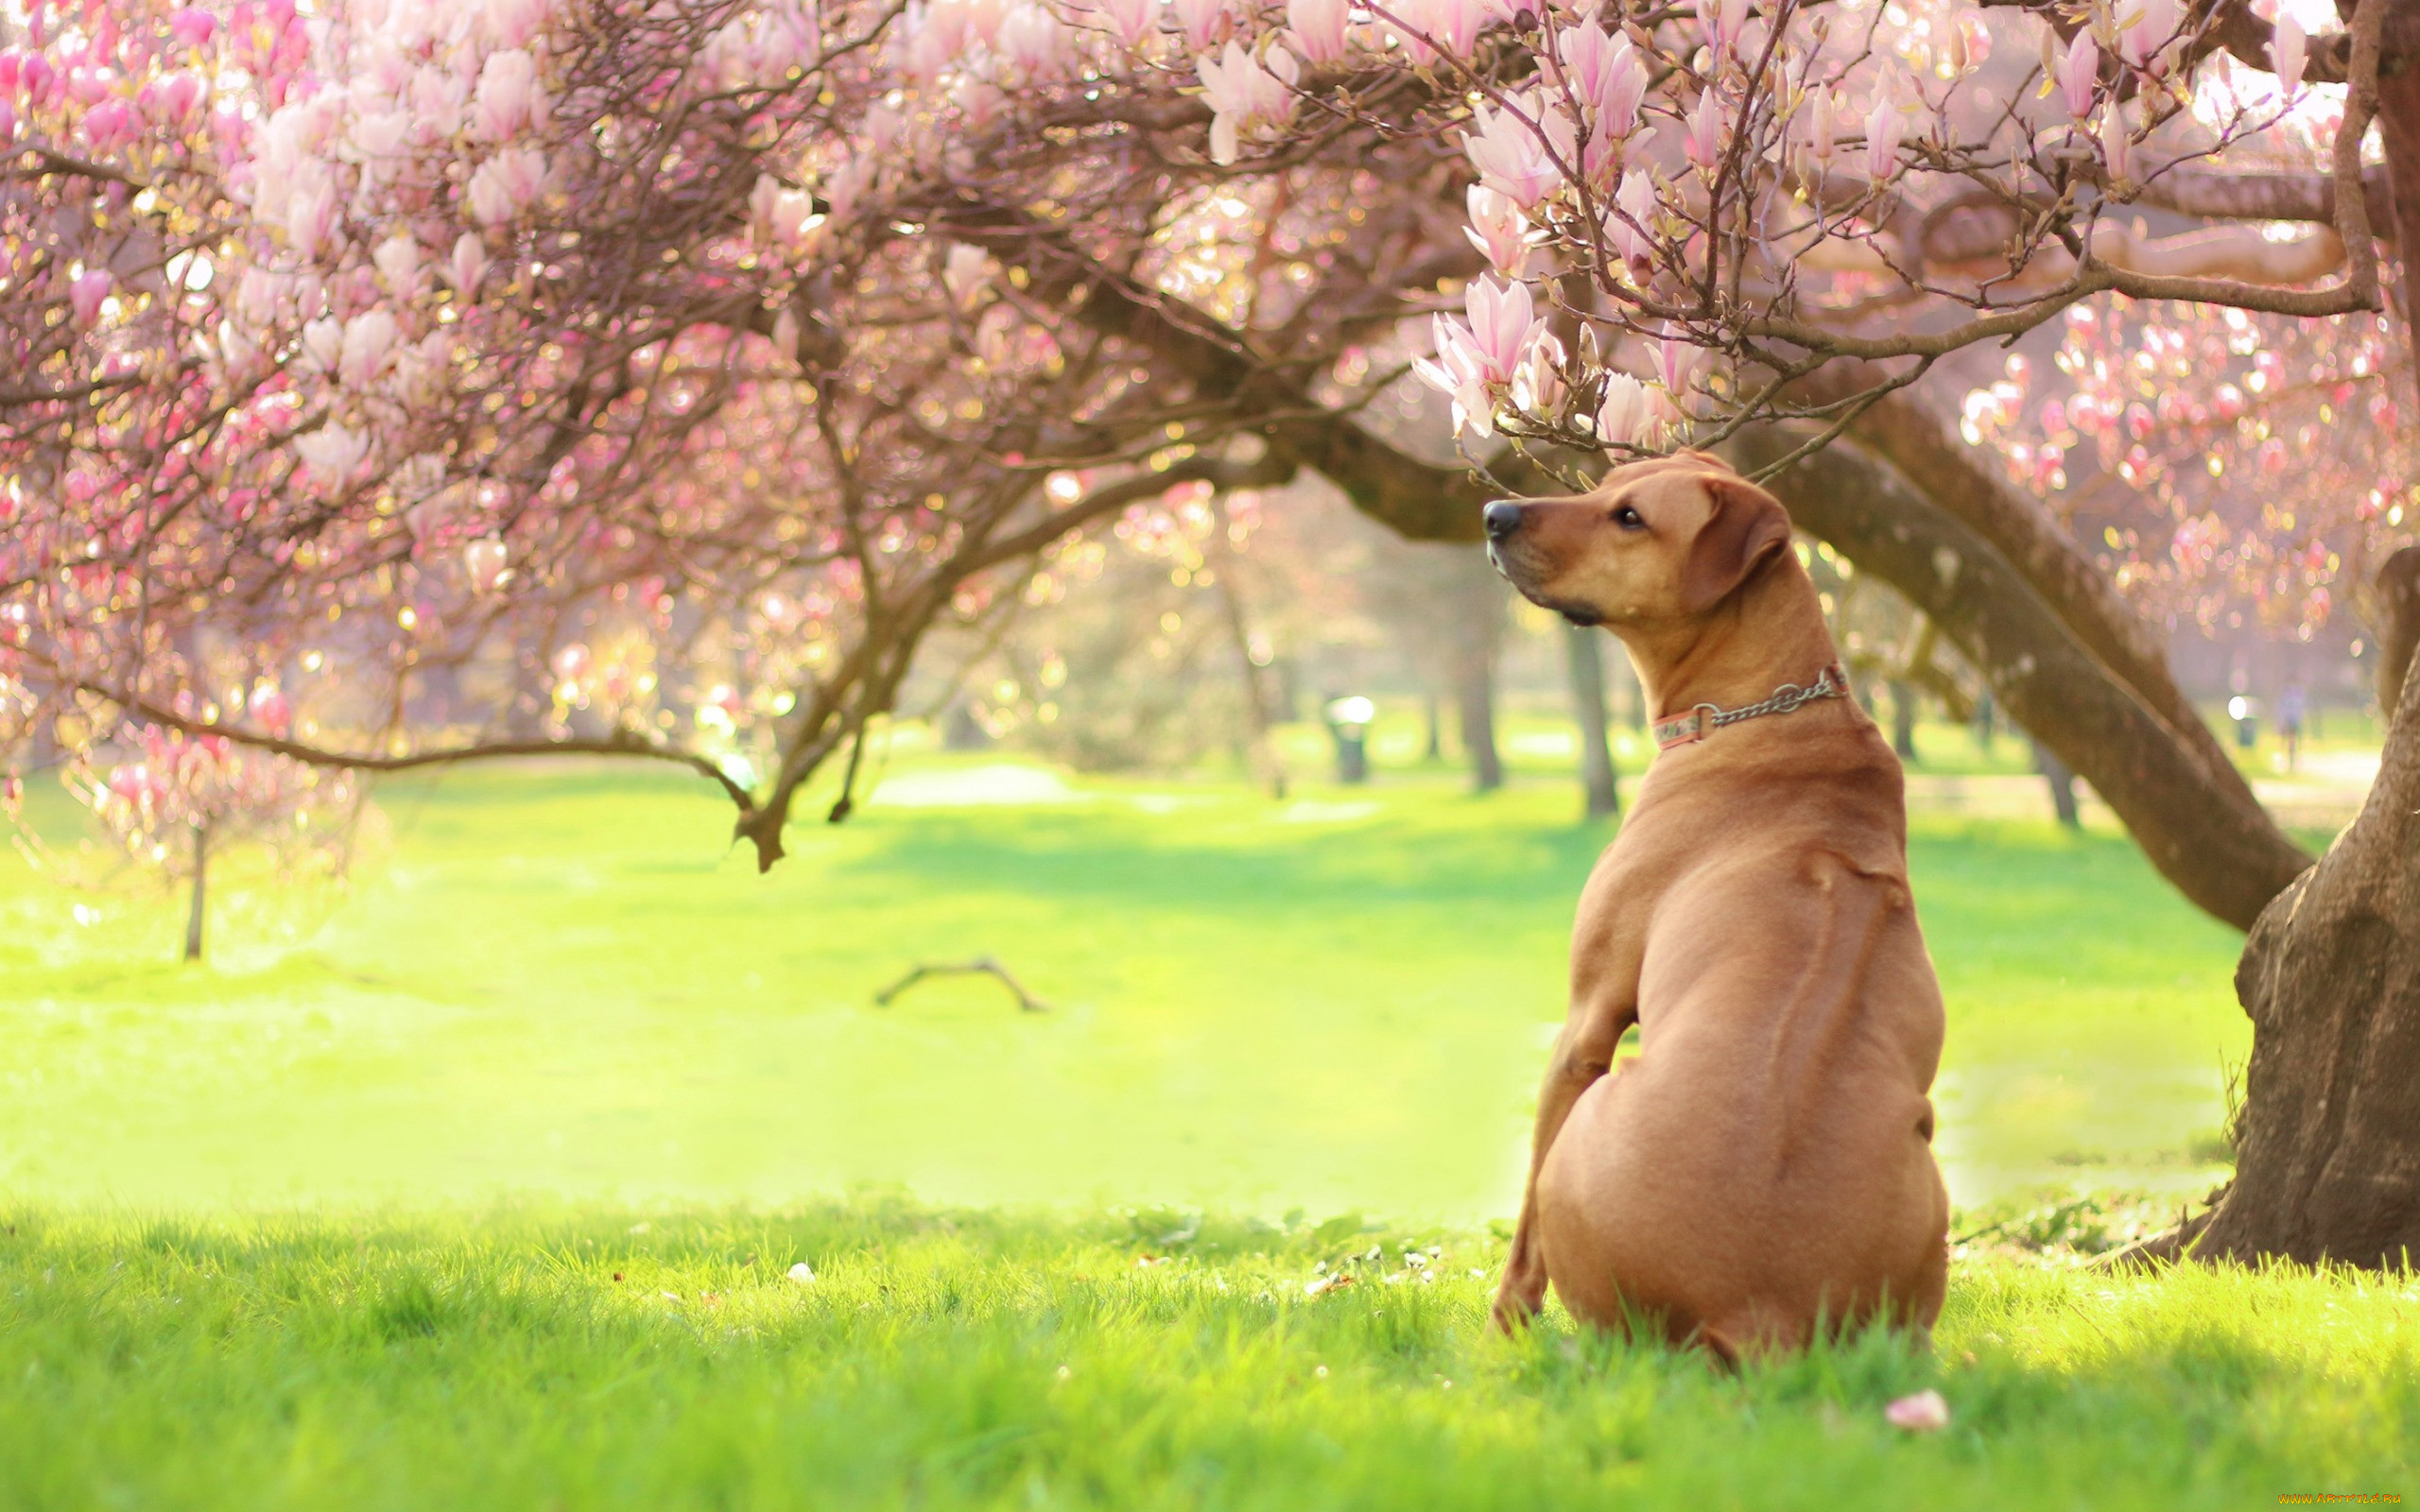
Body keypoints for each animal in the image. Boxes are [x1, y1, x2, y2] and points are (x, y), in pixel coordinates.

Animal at [1471, 447, 1945, 1354]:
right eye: (1597, 487)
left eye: (1630, 517)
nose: (1493, 515)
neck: (1763, 712)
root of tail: (1759, 1309)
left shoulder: (1585, 1022)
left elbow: (1520, 1233)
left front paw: (1503, 1326)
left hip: (1598, 1106)